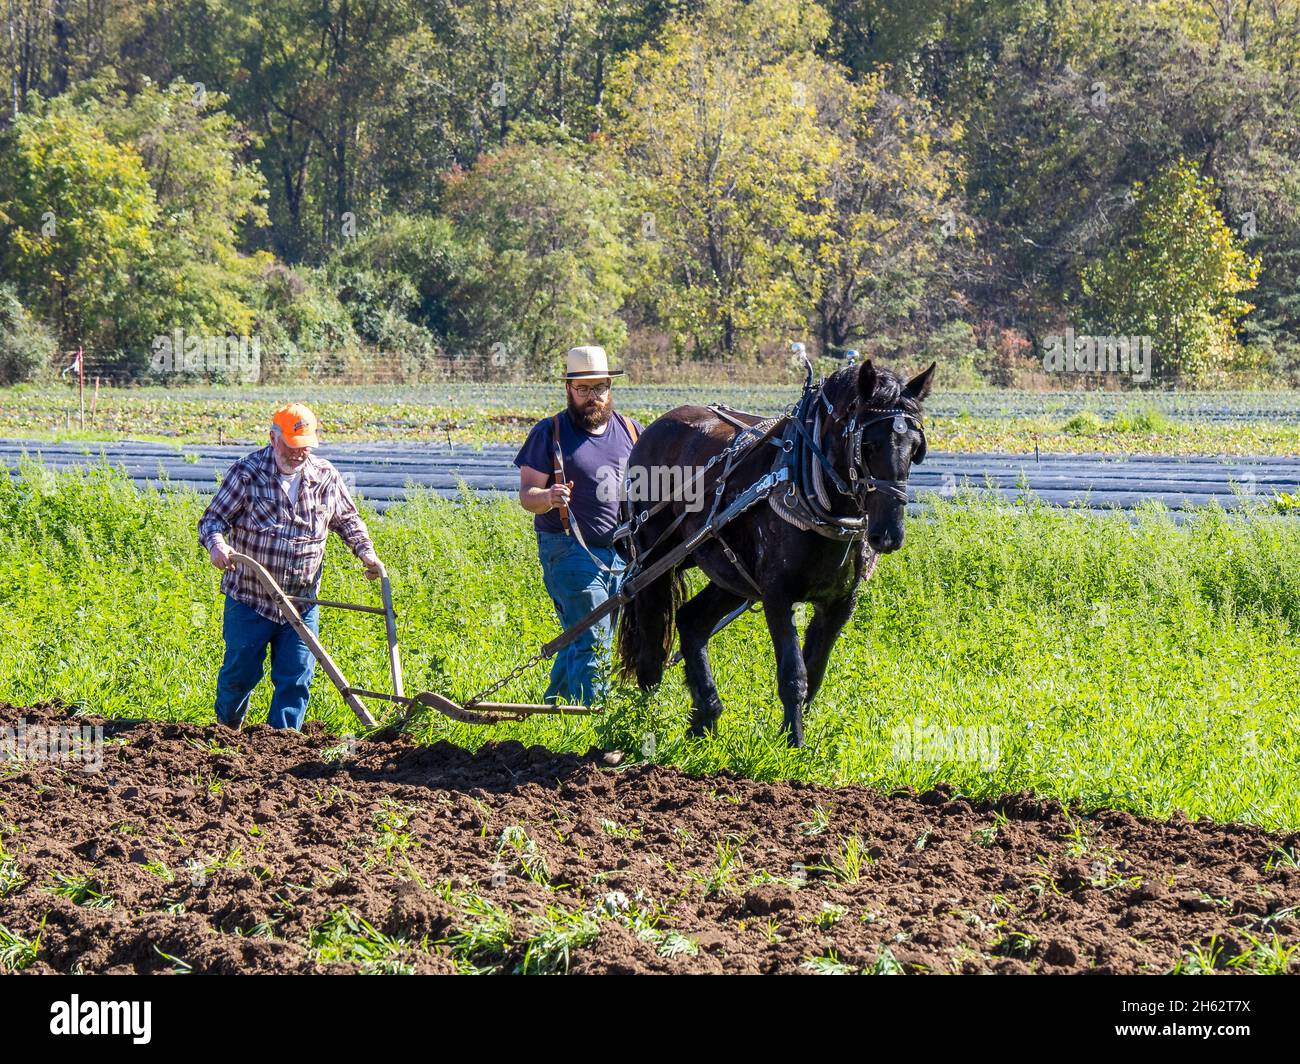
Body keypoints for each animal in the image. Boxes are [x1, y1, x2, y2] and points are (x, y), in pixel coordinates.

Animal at [613, 361, 930, 744]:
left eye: (915, 448)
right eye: (868, 444)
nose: (888, 535)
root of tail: (654, 428)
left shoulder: (840, 603)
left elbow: (814, 674)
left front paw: (792, 739)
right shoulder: (777, 594)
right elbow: (793, 674)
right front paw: (793, 743)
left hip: (730, 573)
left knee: (690, 622)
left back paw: (704, 720)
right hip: (652, 561)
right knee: (650, 642)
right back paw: (645, 721)